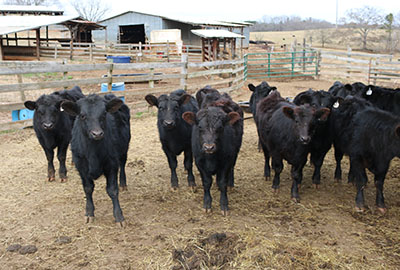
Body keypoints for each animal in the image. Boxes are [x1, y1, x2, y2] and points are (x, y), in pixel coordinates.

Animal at [61, 93, 131, 226]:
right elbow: (88, 189)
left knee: (123, 165)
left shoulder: (111, 164)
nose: (97, 134)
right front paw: (89, 213)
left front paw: (119, 216)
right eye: (82, 115)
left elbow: (112, 190)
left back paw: (123, 183)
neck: (93, 153)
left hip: (124, 150)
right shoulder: (80, 165)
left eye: (104, 114)